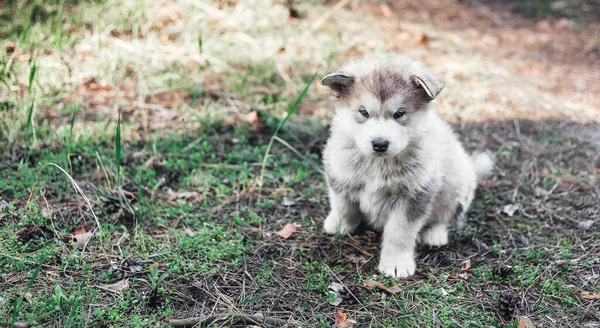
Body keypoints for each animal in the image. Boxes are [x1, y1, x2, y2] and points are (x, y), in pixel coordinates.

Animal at [318, 53, 492, 276]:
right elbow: (342, 204)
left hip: (454, 184)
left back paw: (434, 234)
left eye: (399, 114)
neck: (379, 164)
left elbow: (399, 232)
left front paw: (396, 263)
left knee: (446, 216)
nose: (380, 144)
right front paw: (339, 224)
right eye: (363, 112)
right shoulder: (339, 172)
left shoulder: (415, 195)